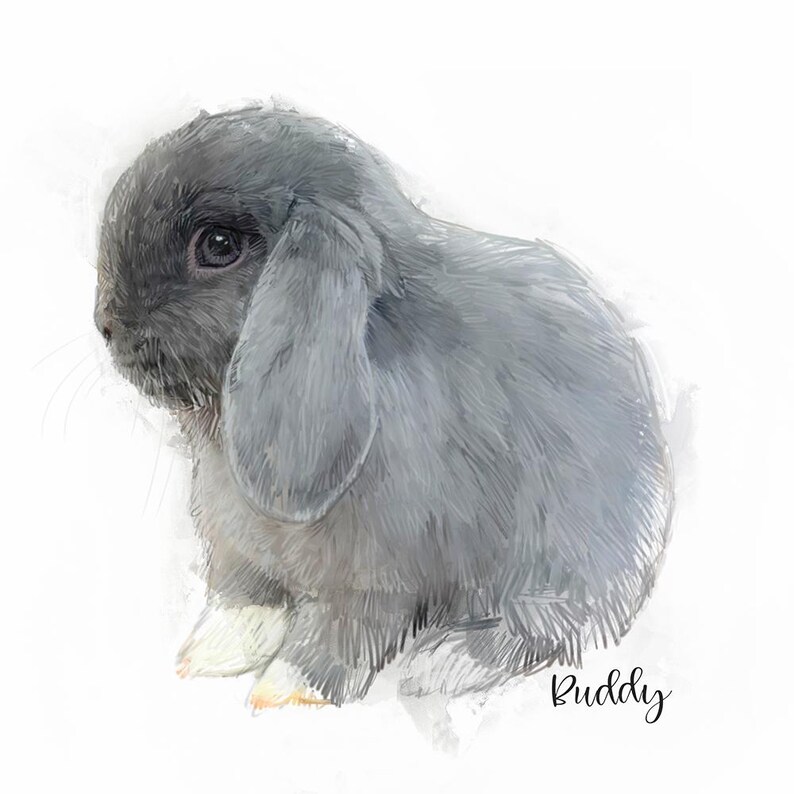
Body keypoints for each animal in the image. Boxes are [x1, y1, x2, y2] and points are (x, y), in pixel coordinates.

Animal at [94, 106, 673, 708]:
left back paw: (441, 665)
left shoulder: (375, 578)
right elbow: (247, 598)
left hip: (555, 568)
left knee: (541, 633)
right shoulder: (242, 554)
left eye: (218, 244)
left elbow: (340, 634)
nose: (106, 323)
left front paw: (285, 692)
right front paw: (206, 654)